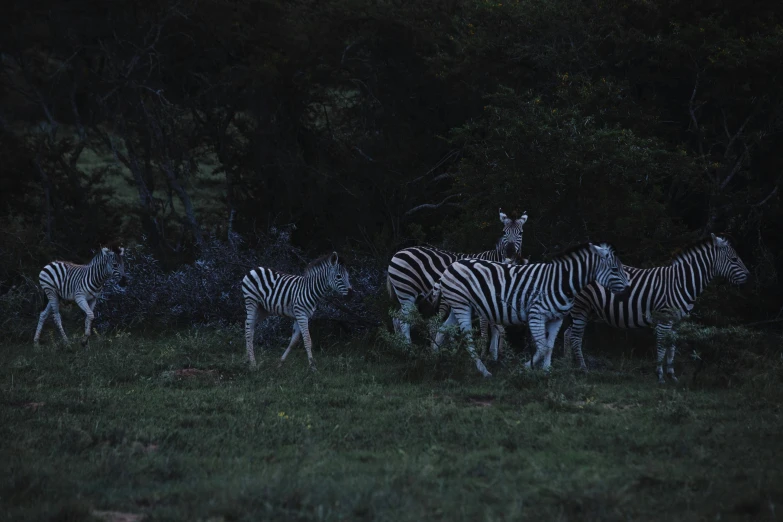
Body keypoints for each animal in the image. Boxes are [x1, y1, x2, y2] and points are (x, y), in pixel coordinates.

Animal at [416, 242, 632, 376]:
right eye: (615, 269)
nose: (629, 288)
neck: (560, 282)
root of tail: (451, 266)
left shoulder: (557, 318)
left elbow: (549, 347)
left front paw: (547, 373)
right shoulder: (536, 315)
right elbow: (542, 347)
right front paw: (525, 368)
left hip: (457, 305)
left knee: (442, 330)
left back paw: (433, 360)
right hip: (461, 305)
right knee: (467, 339)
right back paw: (484, 371)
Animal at [560, 233, 752, 382]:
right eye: (734, 259)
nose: (749, 277)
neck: (681, 282)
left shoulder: (676, 322)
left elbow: (672, 348)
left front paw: (672, 375)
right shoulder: (664, 319)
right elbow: (661, 345)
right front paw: (659, 375)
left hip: (585, 310)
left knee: (568, 334)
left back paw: (568, 366)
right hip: (581, 308)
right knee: (576, 337)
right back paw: (583, 369)